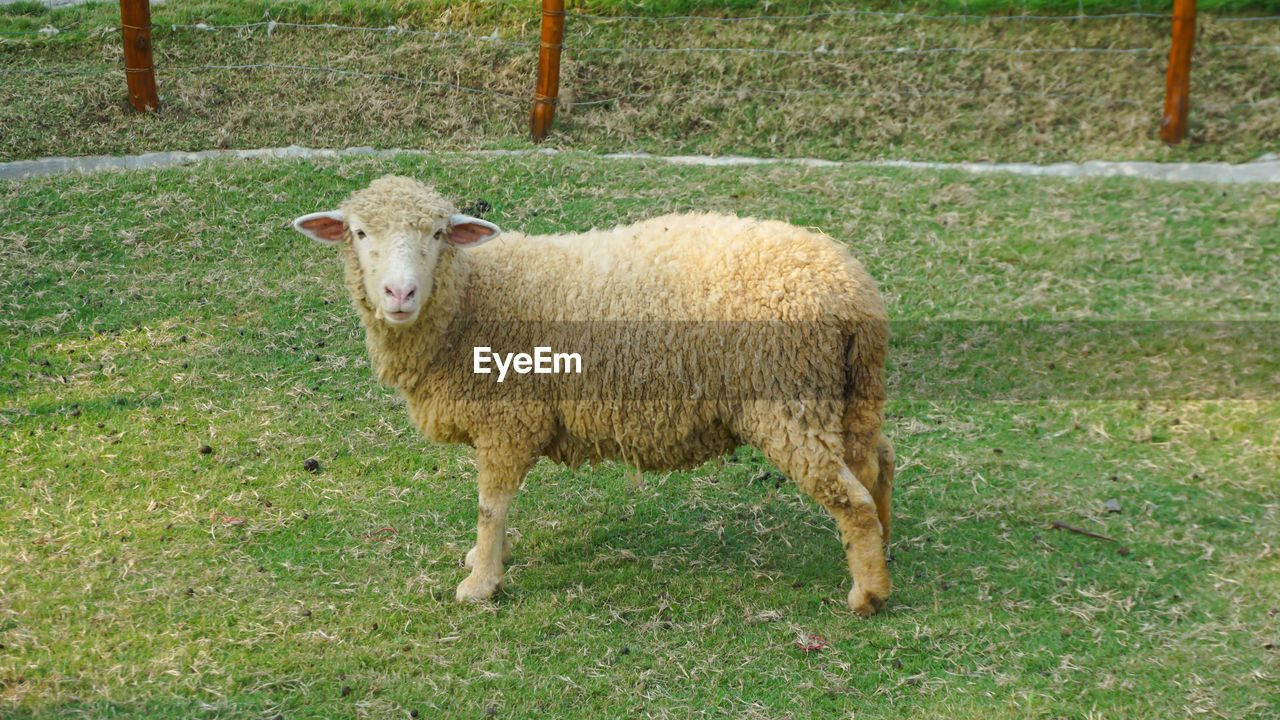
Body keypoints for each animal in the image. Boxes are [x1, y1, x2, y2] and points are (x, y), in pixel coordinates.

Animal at [293, 174, 896, 609]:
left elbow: (491, 505)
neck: (470, 298)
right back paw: (885, 551)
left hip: (788, 398)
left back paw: (867, 595)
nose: (400, 293)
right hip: (846, 394)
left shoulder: (509, 419)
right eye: (359, 233)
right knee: (878, 463)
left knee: (851, 497)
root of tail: (855, 290)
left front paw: (481, 583)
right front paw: (490, 558)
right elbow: (497, 506)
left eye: (438, 234)